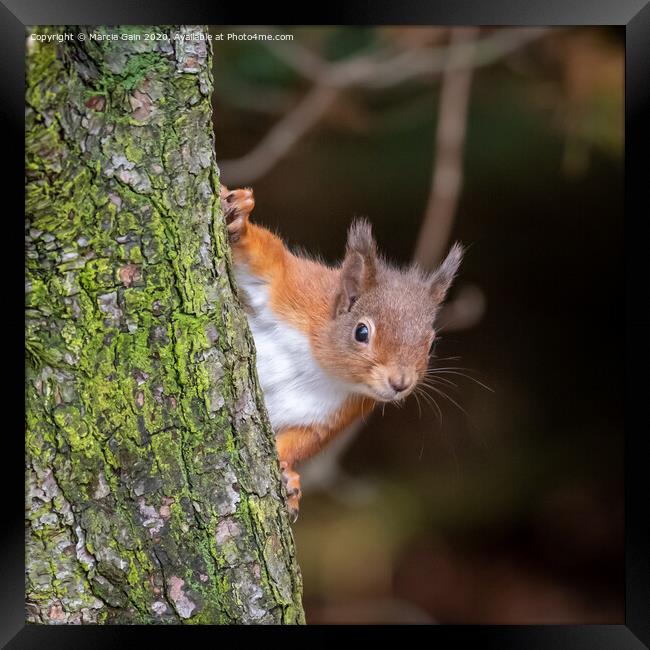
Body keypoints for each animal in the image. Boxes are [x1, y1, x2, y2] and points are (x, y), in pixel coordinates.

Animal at [220, 185, 464, 520]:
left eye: (431, 344)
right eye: (361, 332)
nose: (400, 383)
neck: (321, 366)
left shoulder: (331, 414)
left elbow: (298, 441)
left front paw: (289, 478)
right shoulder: (296, 289)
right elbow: (265, 260)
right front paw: (240, 218)